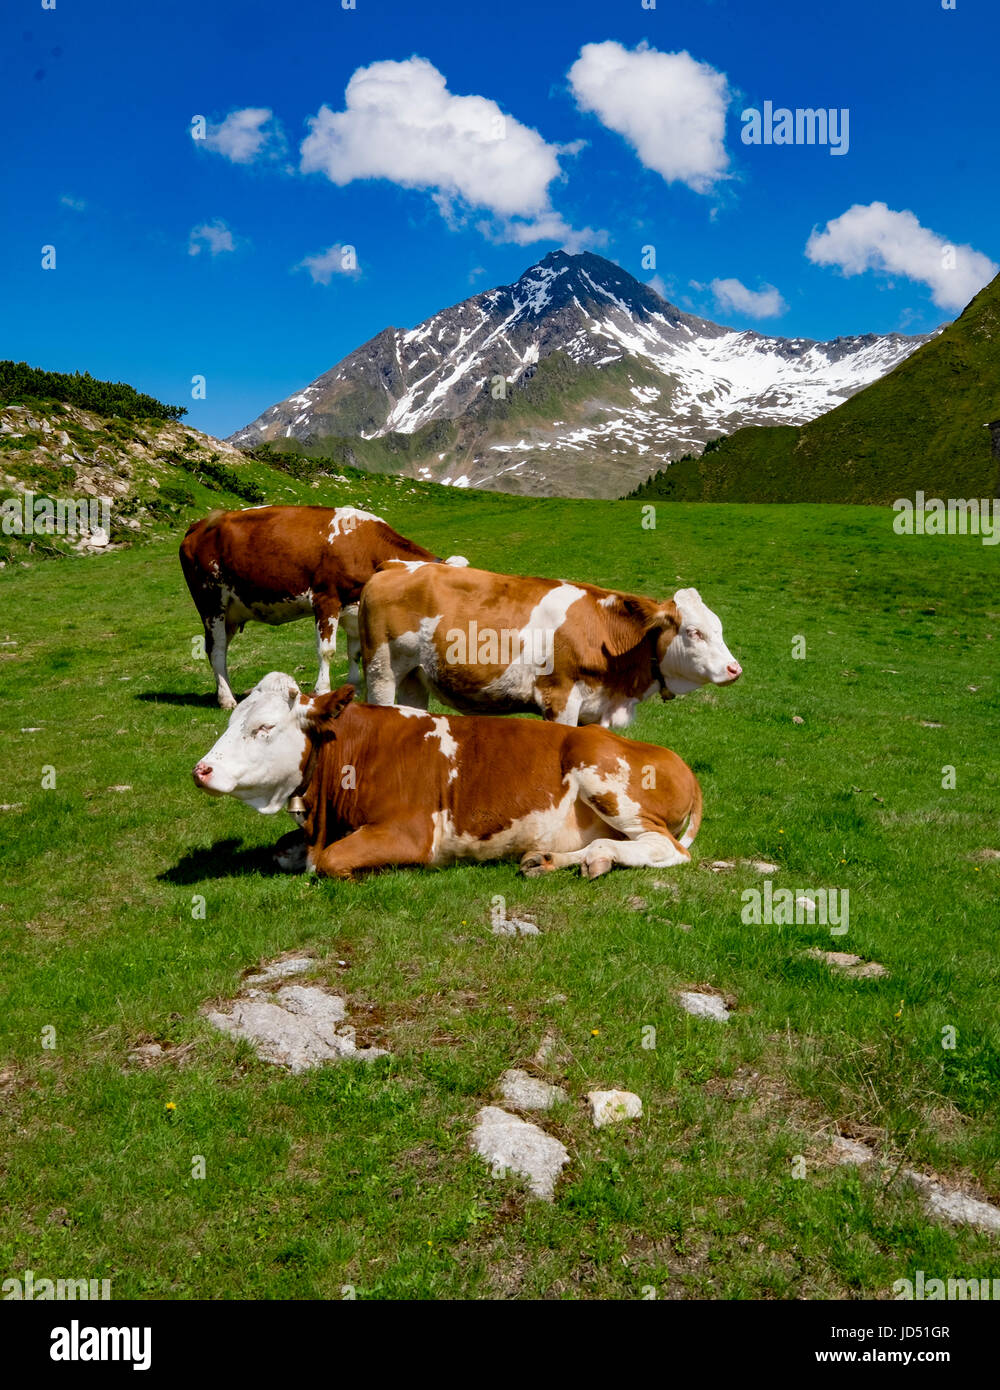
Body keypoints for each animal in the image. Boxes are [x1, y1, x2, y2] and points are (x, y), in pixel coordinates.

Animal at [180, 505, 470, 711]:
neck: (363, 545)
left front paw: (355, 687)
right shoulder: (326, 599)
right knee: (217, 650)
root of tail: (199, 525)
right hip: (211, 602)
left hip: (231, 612)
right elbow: (327, 651)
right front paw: (322, 690)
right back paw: (226, 699)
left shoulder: (354, 608)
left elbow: (356, 653)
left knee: (218, 650)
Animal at [189, 672, 703, 878]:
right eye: (233, 718)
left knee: (666, 849)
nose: (201, 769)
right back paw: (553, 860)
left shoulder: (413, 833)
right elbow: (282, 852)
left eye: (263, 727)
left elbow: (332, 862)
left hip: (603, 775)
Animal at [358, 561, 745, 728]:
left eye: (720, 628)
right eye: (694, 632)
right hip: (381, 670)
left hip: (415, 677)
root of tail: (394, 566)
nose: (734, 669)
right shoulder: (559, 700)